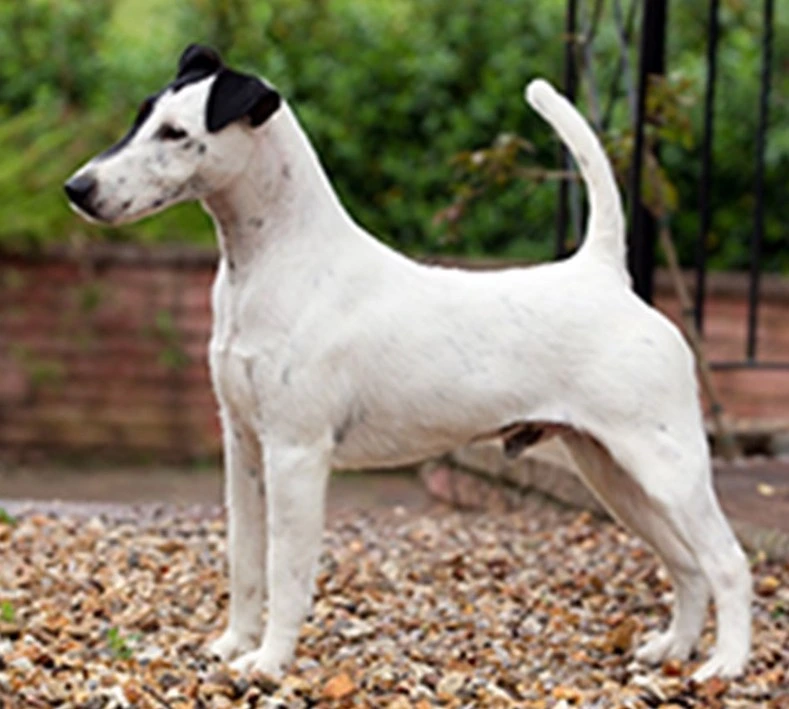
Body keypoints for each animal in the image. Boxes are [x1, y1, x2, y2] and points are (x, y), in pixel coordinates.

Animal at [64, 44, 748, 680]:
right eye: (142, 116)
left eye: (177, 134)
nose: (78, 190)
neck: (271, 262)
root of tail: (605, 274)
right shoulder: (244, 447)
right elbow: (246, 559)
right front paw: (232, 647)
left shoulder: (295, 453)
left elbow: (286, 569)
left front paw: (269, 661)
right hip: (612, 472)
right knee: (686, 565)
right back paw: (672, 650)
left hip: (667, 467)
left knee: (727, 562)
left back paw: (725, 667)